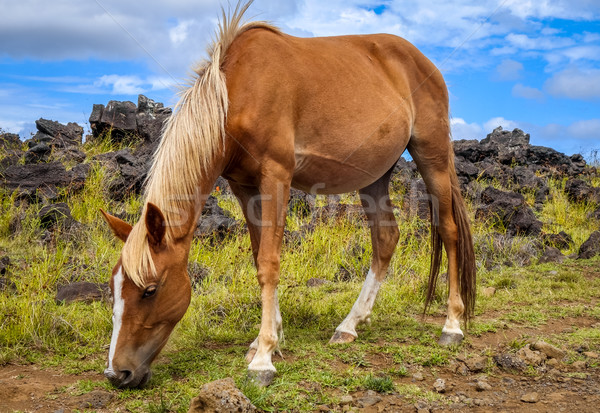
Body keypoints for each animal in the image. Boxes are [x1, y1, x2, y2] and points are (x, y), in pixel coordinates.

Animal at [99, 0, 474, 386]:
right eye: (114, 288)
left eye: (150, 289)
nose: (117, 373)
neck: (236, 93)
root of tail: (422, 61)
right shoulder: (244, 186)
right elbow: (258, 256)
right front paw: (266, 340)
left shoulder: (276, 175)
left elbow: (269, 262)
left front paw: (264, 357)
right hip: (375, 176)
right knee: (385, 239)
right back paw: (349, 325)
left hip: (432, 157)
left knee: (449, 231)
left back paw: (452, 325)